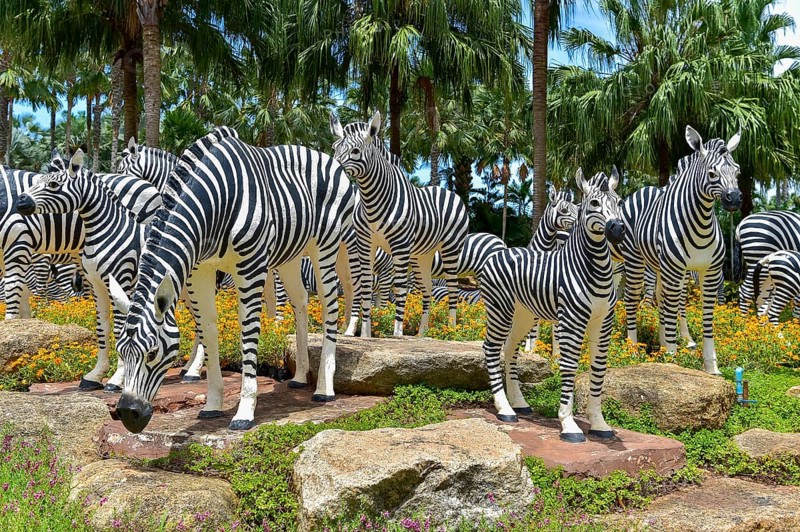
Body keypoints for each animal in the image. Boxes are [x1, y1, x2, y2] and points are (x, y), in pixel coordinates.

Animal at [107, 127, 354, 433]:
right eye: (121, 352)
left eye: (152, 353)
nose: (127, 415)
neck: (212, 205)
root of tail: (328, 158)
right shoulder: (199, 272)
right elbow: (207, 329)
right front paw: (212, 404)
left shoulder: (250, 268)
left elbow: (247, 332)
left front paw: (244, 412)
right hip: (291, 256)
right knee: (300, 302)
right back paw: (299, 376)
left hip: (325, 248)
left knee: (329, 305)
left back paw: (323, 388)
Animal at [330, 111, 469, 337]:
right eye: (335, 148)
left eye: (355, 151)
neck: (372, 199)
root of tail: (446, 190)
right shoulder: (365, 244)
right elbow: (366, 286)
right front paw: (363, 332)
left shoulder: (400, 247)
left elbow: (400, 288)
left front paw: (396, 332)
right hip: (421, 256)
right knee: (427, 289)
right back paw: (422, 333)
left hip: (450, 248)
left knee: (453, 288)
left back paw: (451, 330)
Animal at [479, 170, 625, 442]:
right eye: (594, 203)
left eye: (619, 202)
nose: (618, 229)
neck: (594, 269)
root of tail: (501, 252)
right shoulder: (571, 322)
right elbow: (569, 366)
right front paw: (569, 425)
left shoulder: (603, 324)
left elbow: (599, 369)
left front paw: (599, 424)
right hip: (499, 308)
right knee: (491, 348)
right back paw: (504, 409)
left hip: (523, 315)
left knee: (510, 348)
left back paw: (518, 403)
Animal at [618, 126, 742, 375]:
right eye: (712, 174)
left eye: (738, 171)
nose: (734, 198)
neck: (701, 221)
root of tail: (644, 189)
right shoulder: (675, 270)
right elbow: (672, 308)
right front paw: (673, 358)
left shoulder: (709, 272)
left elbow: (706, 316)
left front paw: (710, 365)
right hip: (635, 261)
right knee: (633, 298)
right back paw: (634, 349)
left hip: (660, 267)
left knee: (661, 297)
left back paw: (662, 346)